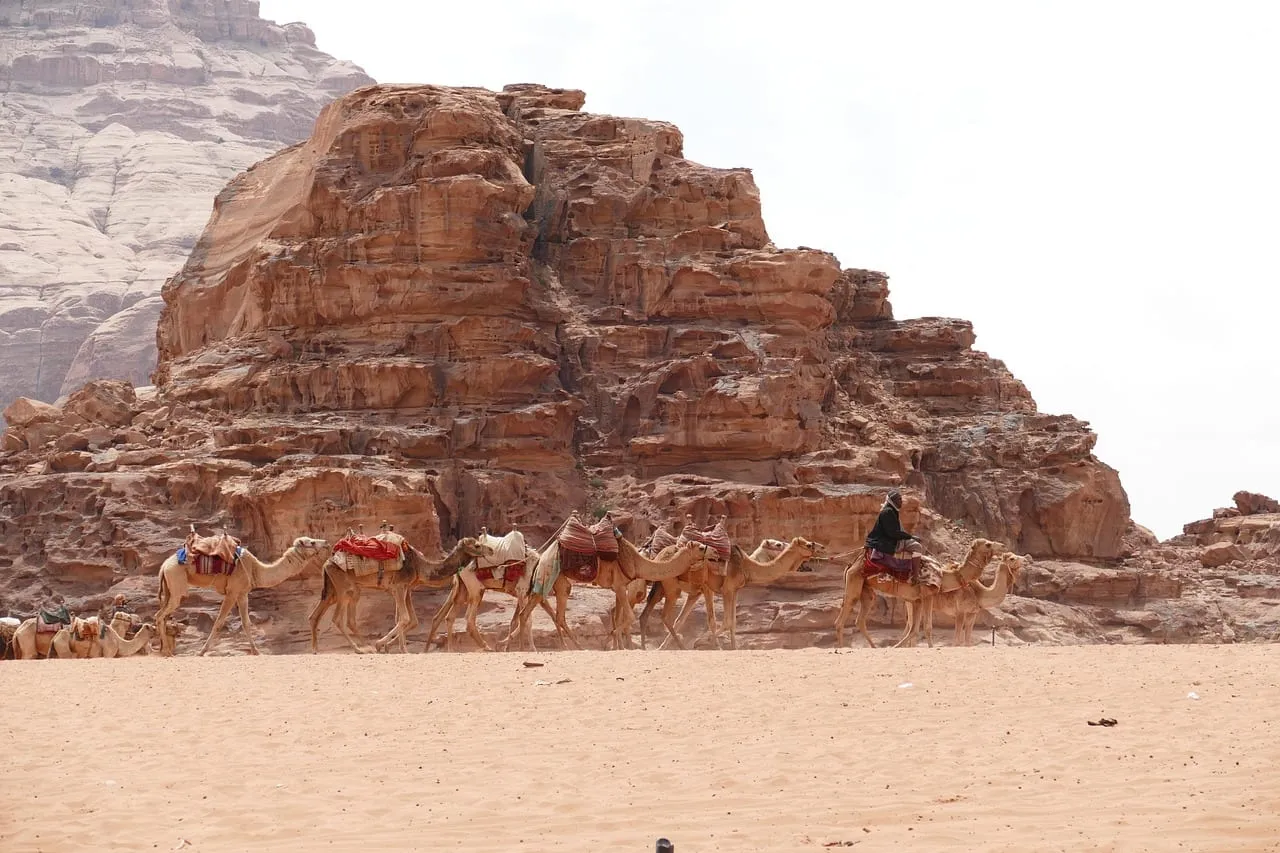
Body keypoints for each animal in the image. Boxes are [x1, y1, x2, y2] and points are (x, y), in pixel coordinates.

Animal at [156, 535, 329, 656]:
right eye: (311, 542)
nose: (326, 543)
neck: (256, 569)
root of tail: (163, 566)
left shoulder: (242, 594)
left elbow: (246, 623)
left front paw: (256, 651)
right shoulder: (232, 592)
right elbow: (219, 622)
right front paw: (202, 651)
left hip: (169, 589)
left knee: (162, 615)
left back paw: (165, 651)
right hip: (176, 584)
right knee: (160, 615)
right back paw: (165, 652)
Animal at [309, 537, 493, 654]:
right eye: (477, 545)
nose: (490, 549)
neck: (420, 565)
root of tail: (327, 563)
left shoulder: (405, 588)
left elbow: (409, 619)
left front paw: (399, 648)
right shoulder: (399, 587)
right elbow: (404, 618)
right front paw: (382, 645)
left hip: (333, 590)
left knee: (317, 615)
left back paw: (317, 649)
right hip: (344, 588)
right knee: (338, 619)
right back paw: (360, 649)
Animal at [833, 538, 1004, 649]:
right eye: (988, 544)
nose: (1002, 546)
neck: (943, 575)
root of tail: (852, 564)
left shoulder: (917, 600)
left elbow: (914, 629)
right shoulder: (927, 595)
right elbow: (927, 626)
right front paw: (931, 647)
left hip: (866, 591)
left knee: (860, 620)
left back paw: (874, 647)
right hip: (854, 583)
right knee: (840, 620)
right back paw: (840, 648)